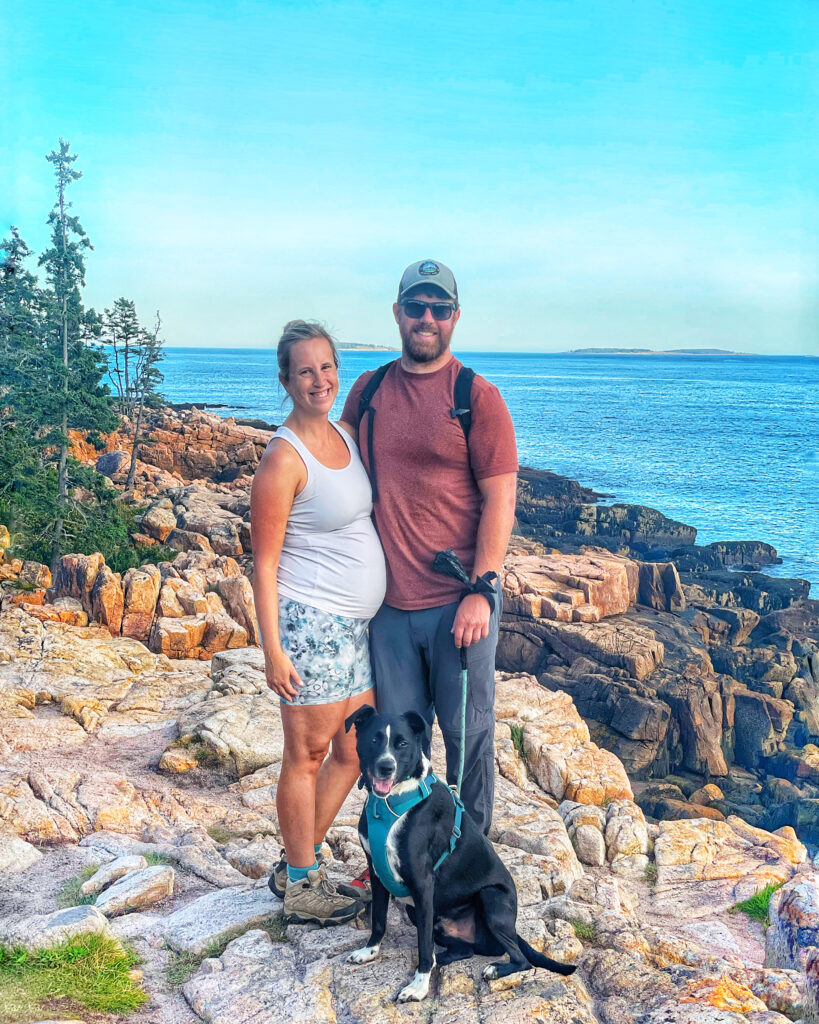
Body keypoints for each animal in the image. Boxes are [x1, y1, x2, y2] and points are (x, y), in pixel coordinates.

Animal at [341, 704, 573, 999]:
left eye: (402, 743)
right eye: (374, 739)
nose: (386, 767)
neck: (391, 803)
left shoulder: (422, 883)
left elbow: (423, 945)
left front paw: (418, 987)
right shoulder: (377, 872)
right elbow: (379, 920)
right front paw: (369, 952)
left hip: (490, 899)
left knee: (520, 959)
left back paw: (493, 969)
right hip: (419, 911)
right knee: (462, 950)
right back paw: (444, 957)